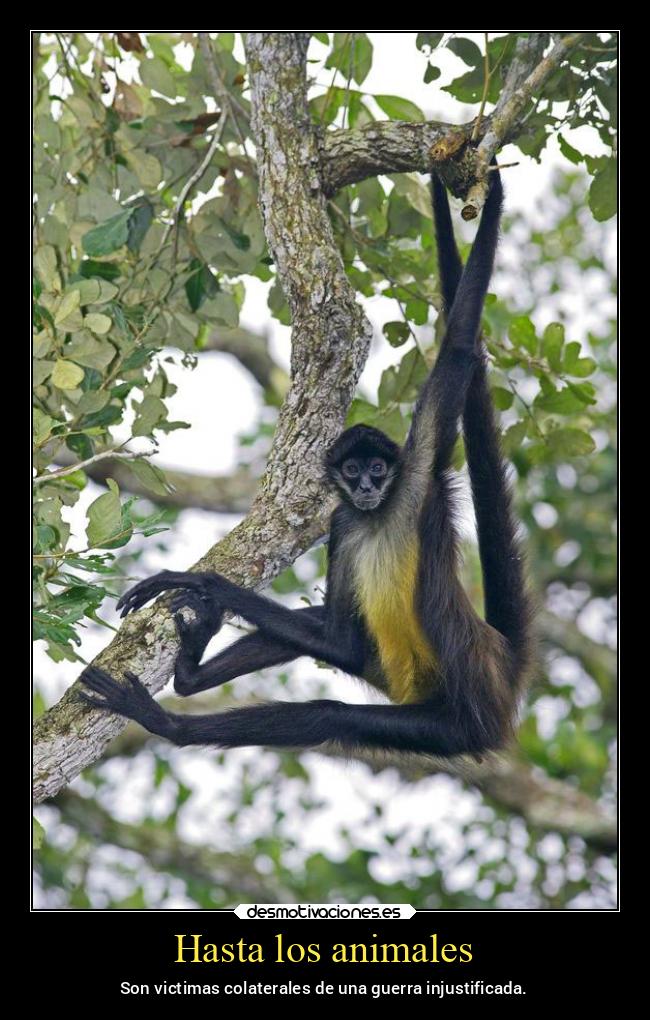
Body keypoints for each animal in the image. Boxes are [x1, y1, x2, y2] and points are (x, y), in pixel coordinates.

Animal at [80, 164, 533, 759]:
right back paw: (190, 676)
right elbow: (337, 640)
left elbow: (457, 346)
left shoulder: (417, 475)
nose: (365, 487)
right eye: (352, 471)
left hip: (456, 725)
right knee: (326, 634)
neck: (376, 516)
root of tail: (496, 665)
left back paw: (168, 723)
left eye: (378, 469)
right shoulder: (342, 523)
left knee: (327, 715)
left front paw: (202, 582)